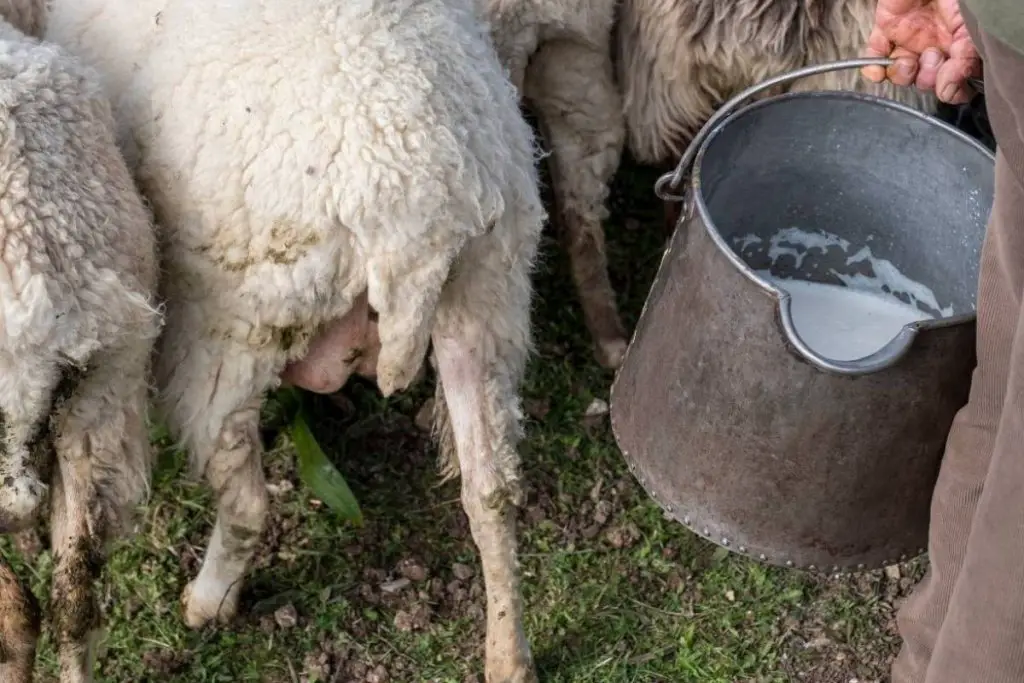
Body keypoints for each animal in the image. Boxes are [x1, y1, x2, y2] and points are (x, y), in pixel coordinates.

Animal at [48, 1, 548, 683]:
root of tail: (410, 217)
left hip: (234, 326)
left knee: (246, 499)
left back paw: (208, 601)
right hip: (488, 297)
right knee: (493, 491)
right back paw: (509, 653)